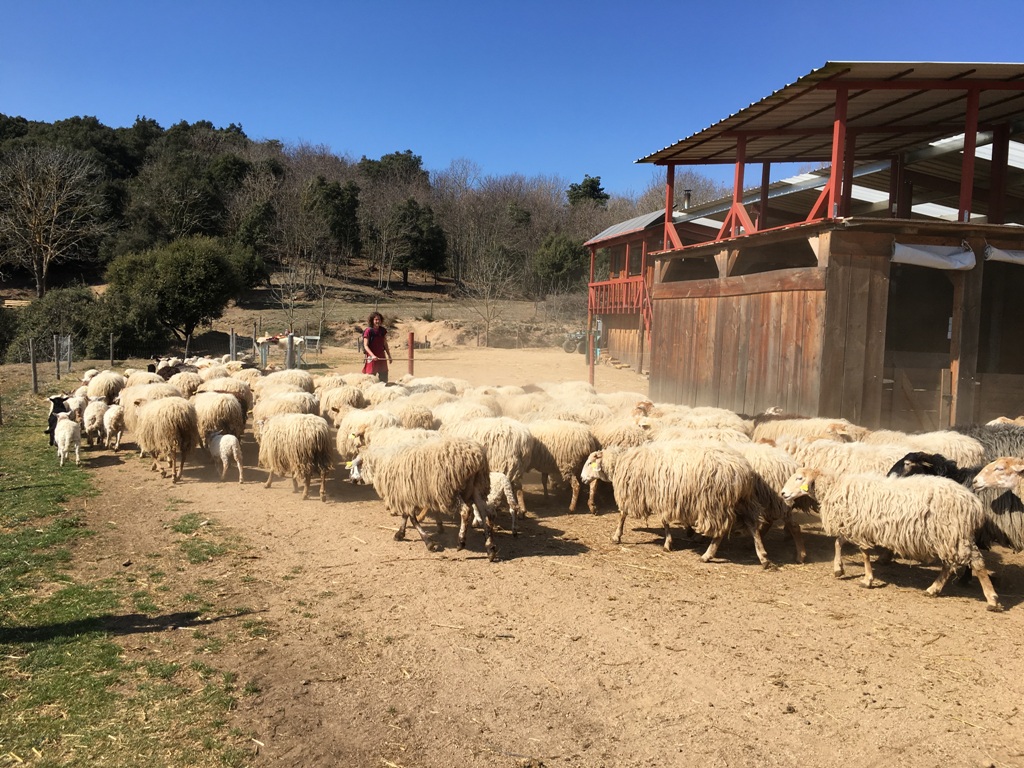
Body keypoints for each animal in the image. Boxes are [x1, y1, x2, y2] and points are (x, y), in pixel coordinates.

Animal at [348, 438, 499, 561]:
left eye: (356, 466)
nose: (352, 480)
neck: (380, 462)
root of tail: (476, 456)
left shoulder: (404, 494)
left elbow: (413, 519)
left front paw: (429, 543)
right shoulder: (406, 494)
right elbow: (406, 516)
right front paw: (400, 533)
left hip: (450, 489)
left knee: (466, 511)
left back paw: (461, 542)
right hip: (476, 487)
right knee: (486, 513)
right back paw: (490, 548)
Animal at [782, 466, 999, 610]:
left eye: (799, 478)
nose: (783, 493)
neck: (834, 487)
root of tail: (974, 503)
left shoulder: (860, 527)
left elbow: (863, 553)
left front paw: (867, 579)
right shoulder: (854, 525)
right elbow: (838, 542)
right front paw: (838, 569)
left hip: (954, 534)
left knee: (977, 562)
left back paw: (992, 599)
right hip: (948, 537)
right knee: (948, 565)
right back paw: (933, 589)